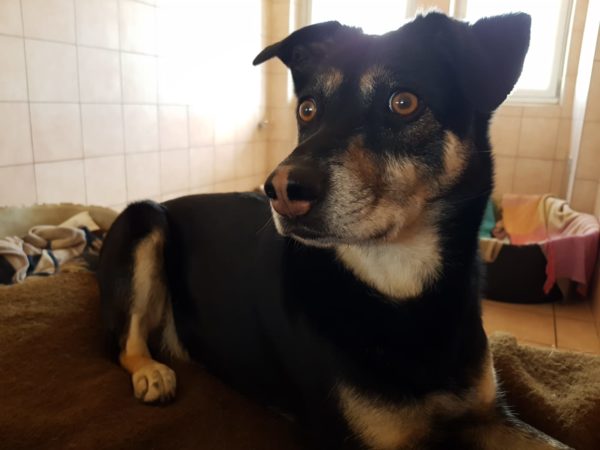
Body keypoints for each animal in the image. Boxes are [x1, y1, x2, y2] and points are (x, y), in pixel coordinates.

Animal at [97, 12, 571, 450]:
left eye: (404, 102)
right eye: (307, 109)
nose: (281, 190)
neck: (399, 288)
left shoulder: (490, 415)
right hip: (144, 221)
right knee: (125, 343)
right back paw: (151, 372)